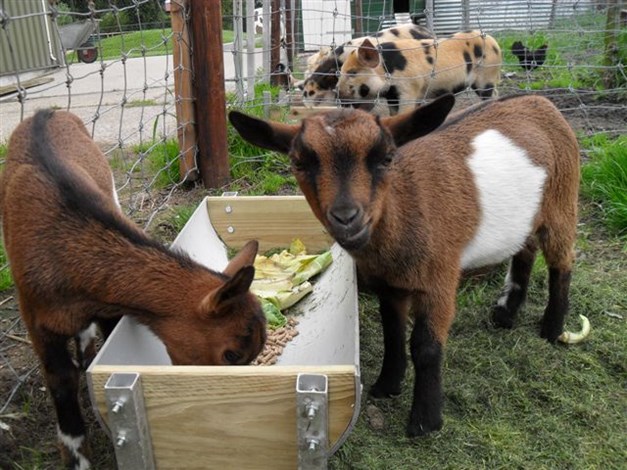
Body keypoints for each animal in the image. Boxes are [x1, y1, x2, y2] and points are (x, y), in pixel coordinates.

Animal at [0, 111, 266, 470]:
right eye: (232, 354)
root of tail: (47, 112)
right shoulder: (37, 319)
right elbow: (61, 379)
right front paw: (78, 458)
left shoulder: (109, 307)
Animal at [229, 94, 588, 436]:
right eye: (298, 162)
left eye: (387, 158)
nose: (347, 217)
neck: (403, 208)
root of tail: (541, 101)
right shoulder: (389, 284)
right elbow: (392, 331)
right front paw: (387, 385)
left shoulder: (440, 278)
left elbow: (425, 347)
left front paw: (425, 421)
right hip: (527, 217)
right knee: (525, 249)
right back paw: (506, 313)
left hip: (562, 202)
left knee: (561, 261)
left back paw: (552, 328)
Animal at [336, 30, 502, 114]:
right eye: (341, 71)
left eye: (352, 72)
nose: (336, 91)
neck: (388, 69)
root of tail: (493, 41)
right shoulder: (392, 96)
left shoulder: (409, 89)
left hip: (487, 77)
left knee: (491, 94)